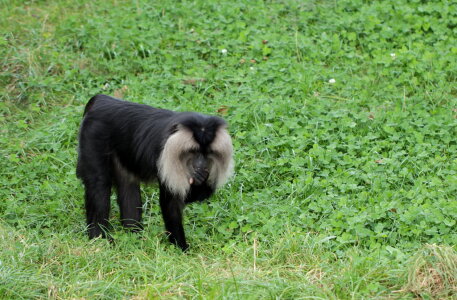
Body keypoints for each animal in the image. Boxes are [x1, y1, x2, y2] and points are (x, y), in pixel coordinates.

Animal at [76, 95, 233, 250]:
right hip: (94, 135)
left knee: (127, 185)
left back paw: (134, 235)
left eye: (207, 153)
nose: (201, 165)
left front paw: (201, 179)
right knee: (99, 184)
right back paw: (98, 237)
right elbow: (170, 202)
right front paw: (181, 248)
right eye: (193, 151)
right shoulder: (166, 158)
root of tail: (102, 100)